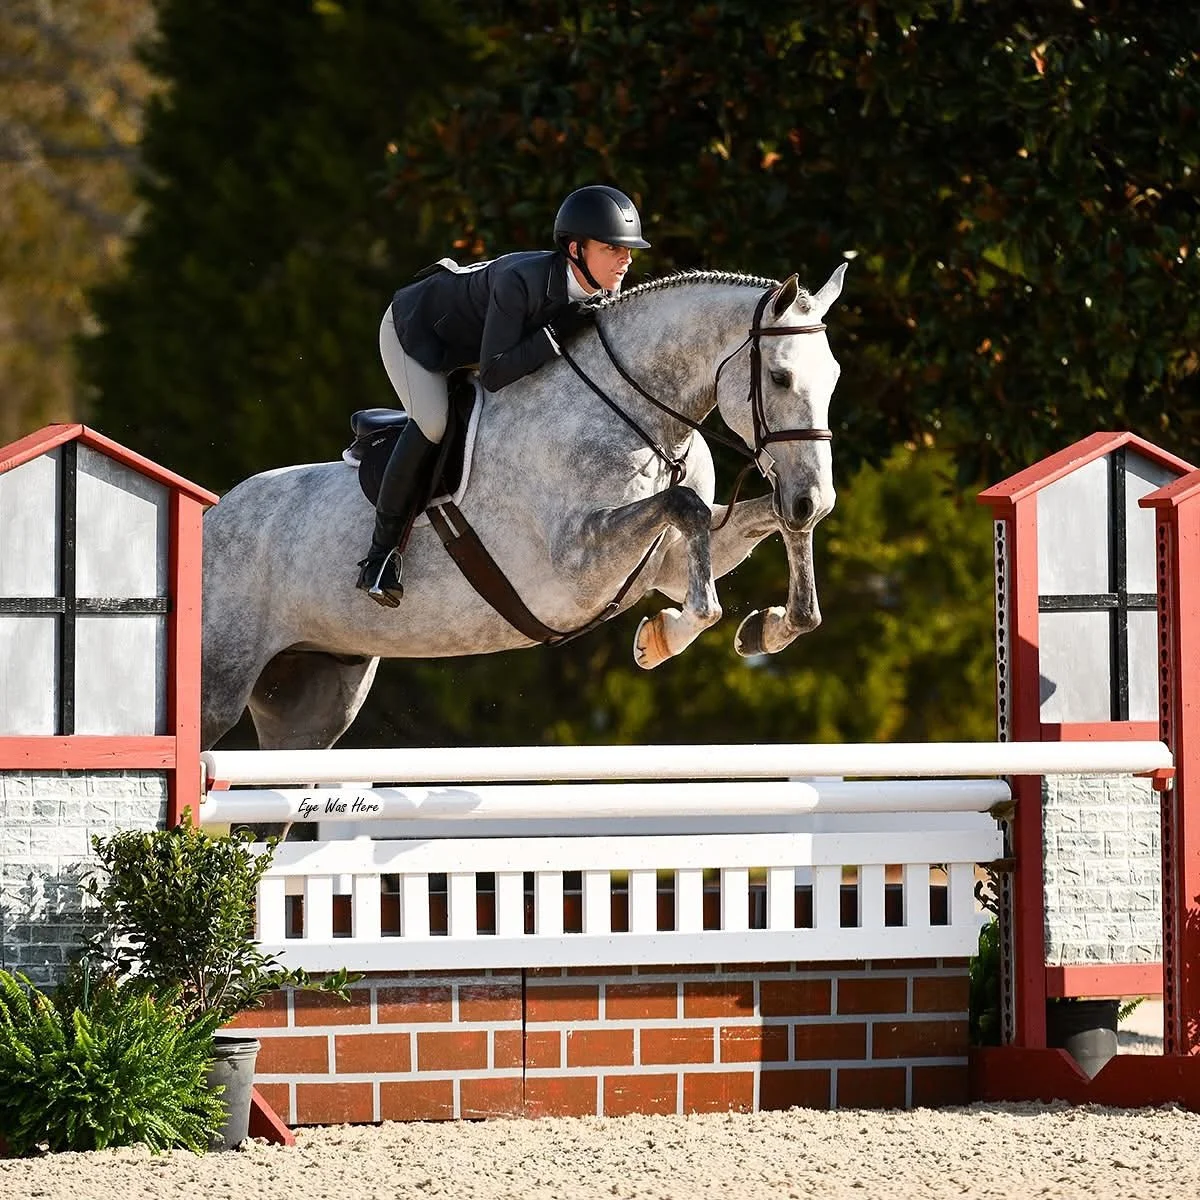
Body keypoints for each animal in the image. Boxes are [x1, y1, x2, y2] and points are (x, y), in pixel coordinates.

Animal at [201, 265, 847, 750]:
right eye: (781, 377)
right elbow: (686, 511)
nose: (812, 496)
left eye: (835, 377)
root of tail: (210, 516)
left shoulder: (665, 562)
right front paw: (662, 637)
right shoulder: (575, 568)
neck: (636, 413)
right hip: (215, 686)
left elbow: (753, 524)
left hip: (312, 703)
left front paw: (771, 627)